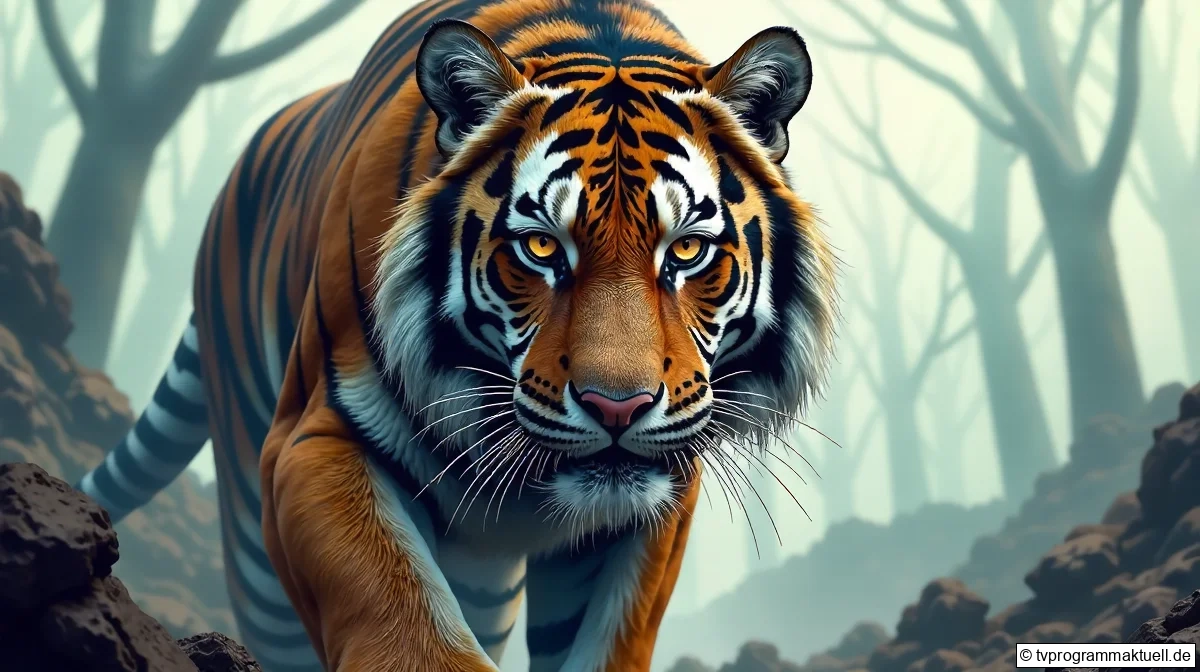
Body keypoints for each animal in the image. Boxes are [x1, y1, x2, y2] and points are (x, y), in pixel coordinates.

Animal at [75, 0, 839, 670]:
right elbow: (400, 610)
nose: (616, 408)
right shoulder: (312, 438)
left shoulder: (655, 498)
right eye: (541, 247)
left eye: (685, 251)